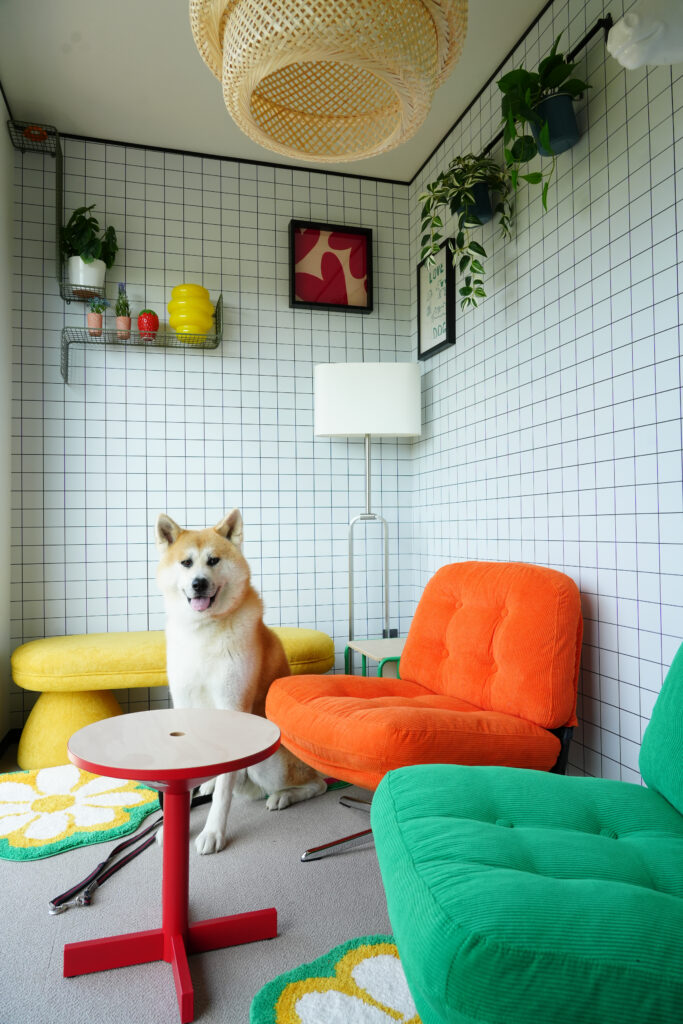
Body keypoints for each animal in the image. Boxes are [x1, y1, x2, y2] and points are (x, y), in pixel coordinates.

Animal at [155, 509, 327, 854]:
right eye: (186, 563)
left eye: (213, 560)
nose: (199, 583)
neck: (203, 633)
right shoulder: (184, 706)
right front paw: (174, 827)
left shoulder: (232, 706)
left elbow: (223, 794)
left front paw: (212, 832)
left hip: (268, 765)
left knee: (318, 784)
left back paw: (284, 796)